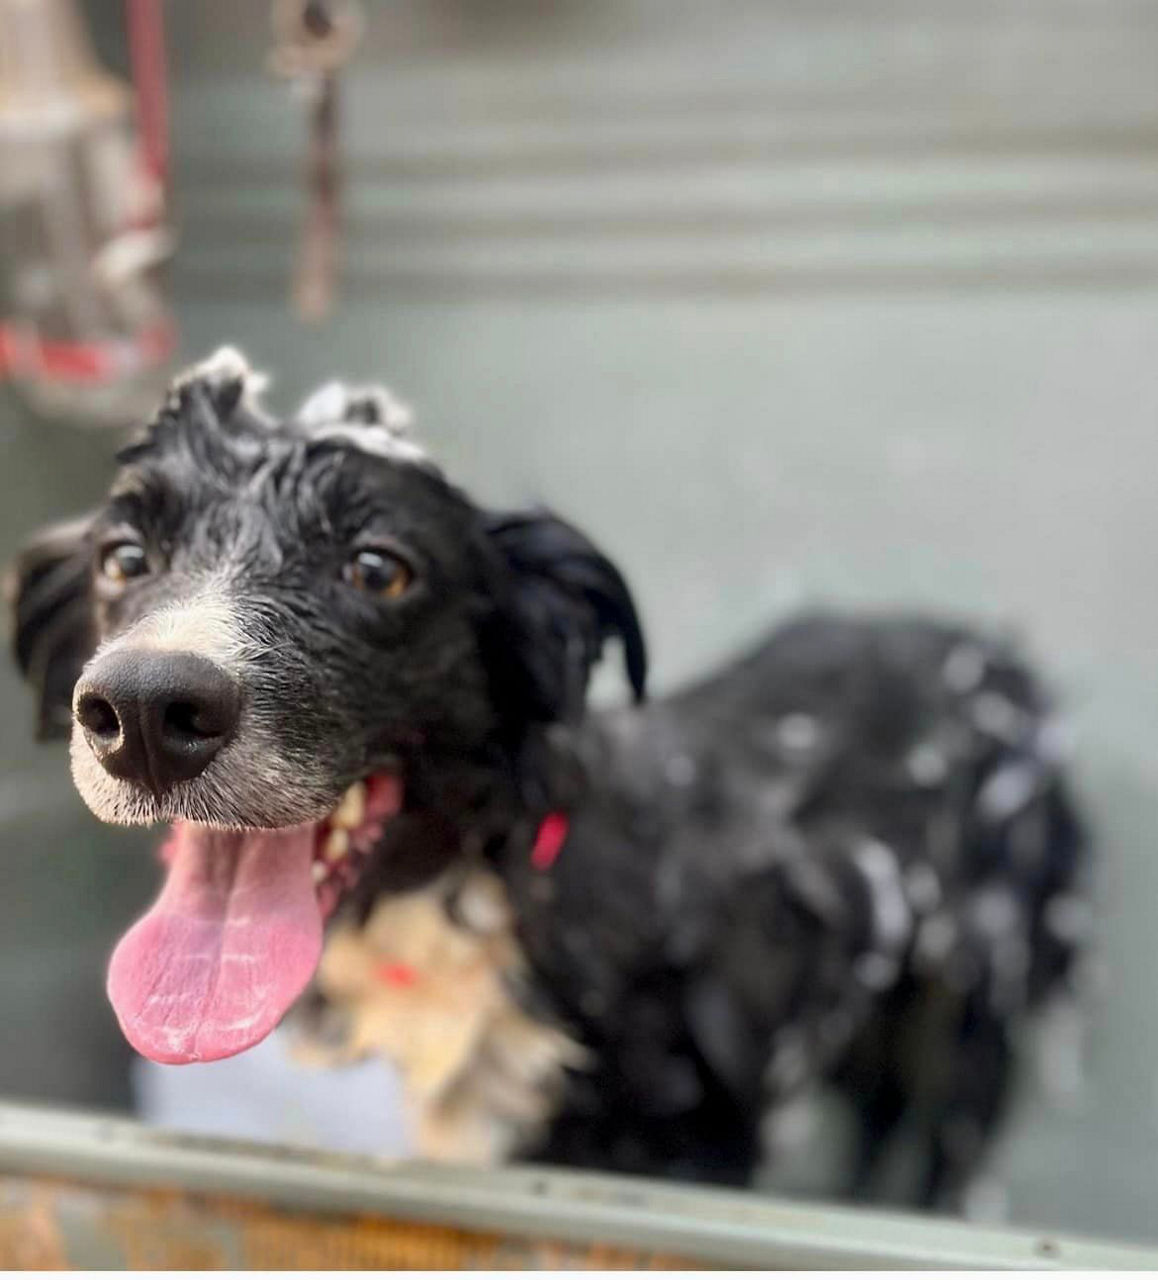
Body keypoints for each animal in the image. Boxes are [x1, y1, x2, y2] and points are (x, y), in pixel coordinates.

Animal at [6, 353, 1085, 1208]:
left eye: (378, 568)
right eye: (124, 556)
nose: (146, 710)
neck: (482, 898)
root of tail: (991, 651)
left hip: (975, 1021)